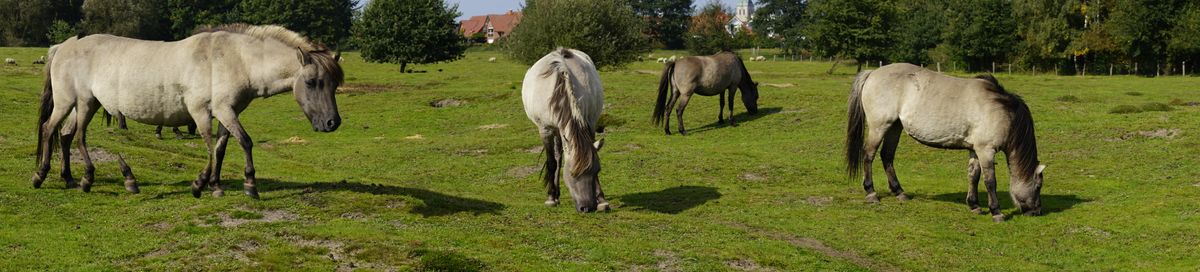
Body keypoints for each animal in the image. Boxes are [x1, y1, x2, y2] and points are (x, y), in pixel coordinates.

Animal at [34, 23, 343, 197]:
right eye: (312, 82)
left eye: (334, 84)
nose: (333, 123)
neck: (235, 59)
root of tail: (63, 45)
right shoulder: (203, 111)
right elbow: (230, 144)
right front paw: (235, 184)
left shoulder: (227, 111)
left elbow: (220, 147)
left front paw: (216, 185)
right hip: (75, 102)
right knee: (61, 133)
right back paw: (55, 176)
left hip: (84, 104)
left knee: (65, 135)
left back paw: (70, 178)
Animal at [520, 47, 609, 213]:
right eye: (572, 174)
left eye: (597, 171)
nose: (587, 208)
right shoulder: (545, 130)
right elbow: (551, 163)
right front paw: (551, 198)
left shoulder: (590, 123)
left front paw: (601, 200)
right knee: (557, 158)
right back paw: (555, 195)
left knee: (560, 155)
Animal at [844, 62, 1041, 221]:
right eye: (1038, 186)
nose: (1036, 212)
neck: (1001, 109)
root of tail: (872, 73)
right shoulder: (986, 150)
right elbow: (990, 181)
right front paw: (996, 212)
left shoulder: (975, 149)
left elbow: (973, 175)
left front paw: (974, 205)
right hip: (879, 127)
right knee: (869, 155)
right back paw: (871, 193)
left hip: (894, 127)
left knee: (887, 156)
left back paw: (899, 192)